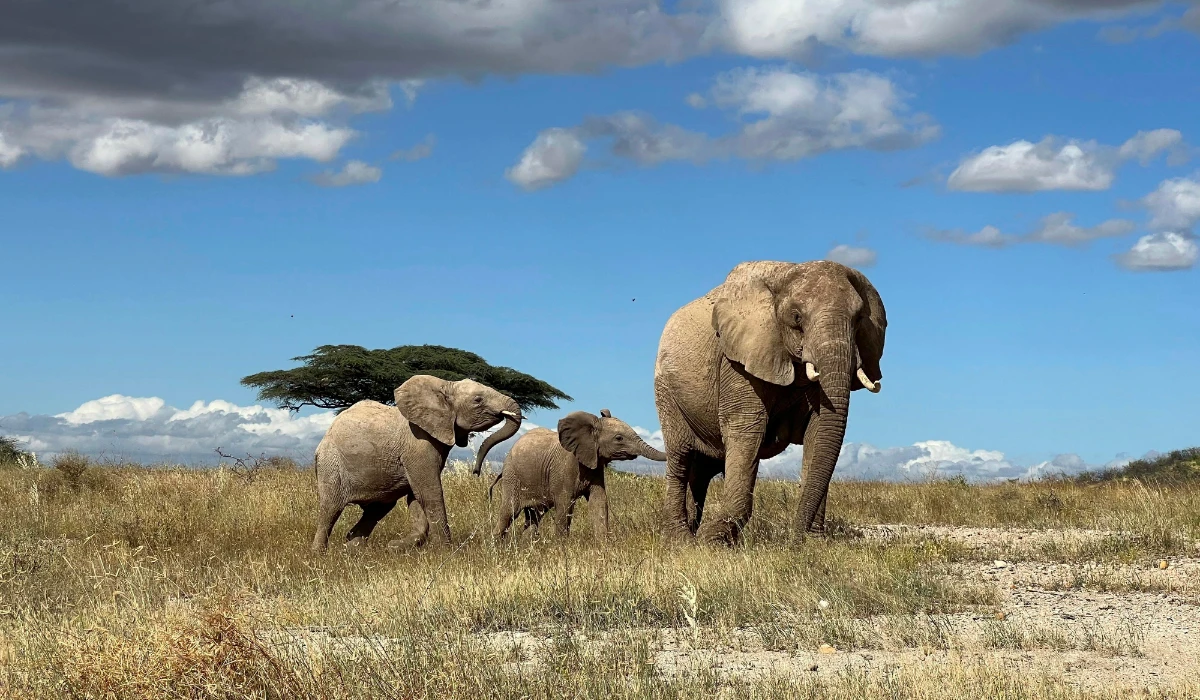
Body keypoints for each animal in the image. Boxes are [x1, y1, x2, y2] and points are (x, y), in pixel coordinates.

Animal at [310, 374, 522, 552]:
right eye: (478, 400)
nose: (475, 472)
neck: (445, 386)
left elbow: (416, 496)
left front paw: (396, 546)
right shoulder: (418, 443)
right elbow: (429, 492)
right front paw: (447, 551)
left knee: (378, 509)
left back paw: (352, 549)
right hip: (331, 463)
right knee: (330, 508)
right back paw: (319, 554)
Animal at [489, 409, 666, 541]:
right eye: (619, 438)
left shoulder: (595, 465)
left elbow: (599, 501)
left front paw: (603, 545)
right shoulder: (565, 468)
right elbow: (565, 504)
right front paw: (561, 547)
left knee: (534, 515)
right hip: (512, 476)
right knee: (509, 511)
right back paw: (496, 546)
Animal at [654, 260, 886, 545]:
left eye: (859, 319)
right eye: (797, 318)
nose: (794, 540)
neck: (786, 273)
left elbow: (819, 434)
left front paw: (814, 543)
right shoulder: (737, 361)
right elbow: (746, 429)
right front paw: (713, 541)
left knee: (702, 469)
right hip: (666, 390)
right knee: (680, 456)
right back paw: (681, 539)